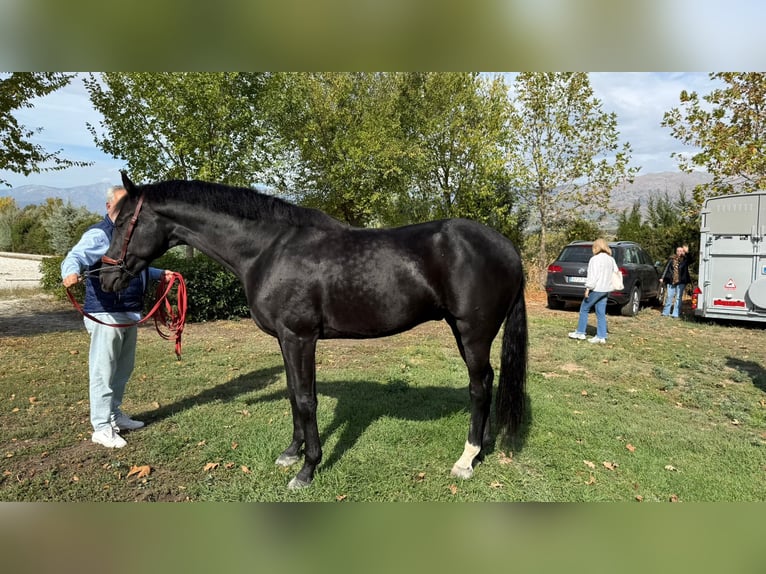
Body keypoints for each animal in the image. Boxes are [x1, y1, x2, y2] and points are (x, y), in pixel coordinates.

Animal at [100, 172, 528, 489]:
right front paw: (291, 454)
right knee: (488, 381)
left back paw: (466, 460)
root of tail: (507, 247)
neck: (267, 250)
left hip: (473, 332)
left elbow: (306, 400)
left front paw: (307, 470)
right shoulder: (286, 340)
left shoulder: (299, 337)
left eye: (121, 223)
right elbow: (293, 394)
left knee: (478, 386)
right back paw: (483, 446)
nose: (105, 279)